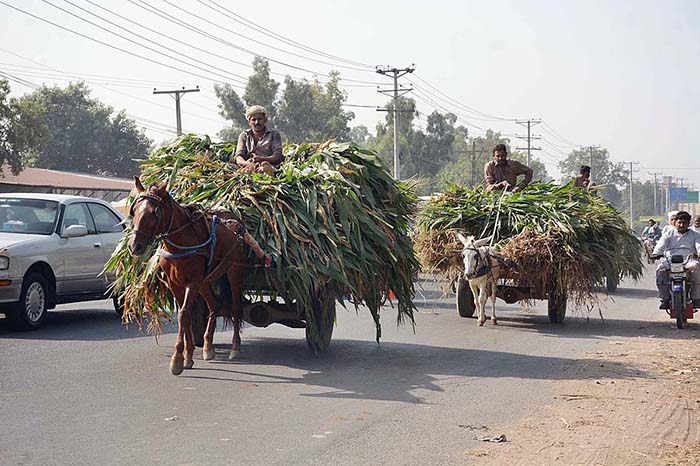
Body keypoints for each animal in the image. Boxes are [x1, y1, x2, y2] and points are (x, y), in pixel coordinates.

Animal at [128, 177, 266, 374]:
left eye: (155, 212)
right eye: (134, 211)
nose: (134, 246)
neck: (180, 243)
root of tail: (236, 221)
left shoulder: (193, 281)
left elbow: (184, 314)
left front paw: (177, 359)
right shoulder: (175, 283)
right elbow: (184, 315)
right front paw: (188, 355)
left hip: (234, 272)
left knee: (235, 308)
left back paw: (235, 347)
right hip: (205, 281)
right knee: (213, 304)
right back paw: (208, 346)